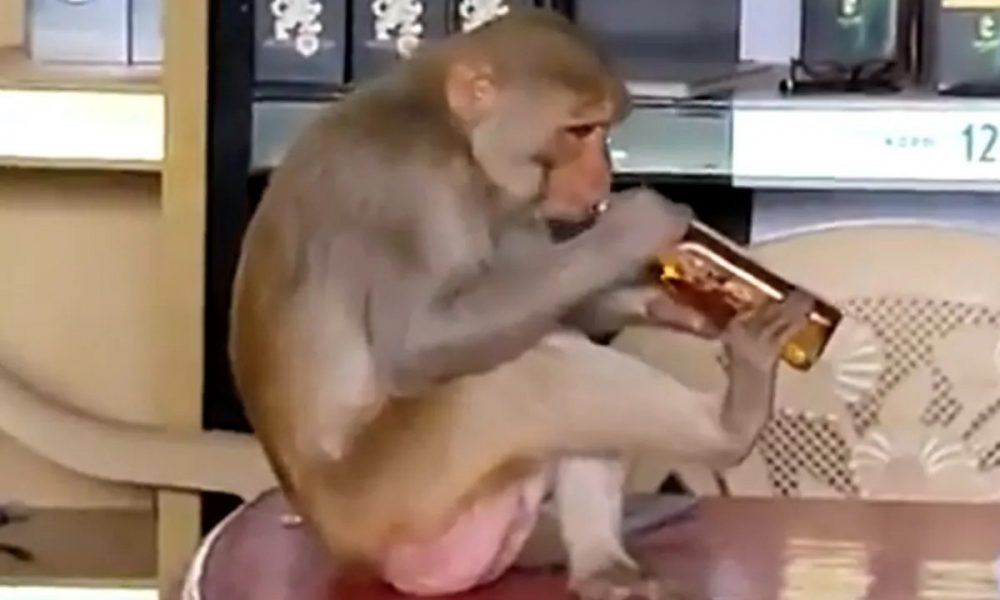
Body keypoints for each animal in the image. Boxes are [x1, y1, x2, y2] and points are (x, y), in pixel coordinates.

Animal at [228, 8, 814, 600]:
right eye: (580, 131)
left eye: (603, 129)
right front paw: (635, 229)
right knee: (530, 369)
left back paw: (602, 565)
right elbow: (420, 344)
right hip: (394, 503)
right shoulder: (406, 182)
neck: (451, 131)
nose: (604, 177)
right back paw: (732, 425)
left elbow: (554, 303)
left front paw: (673, 301)